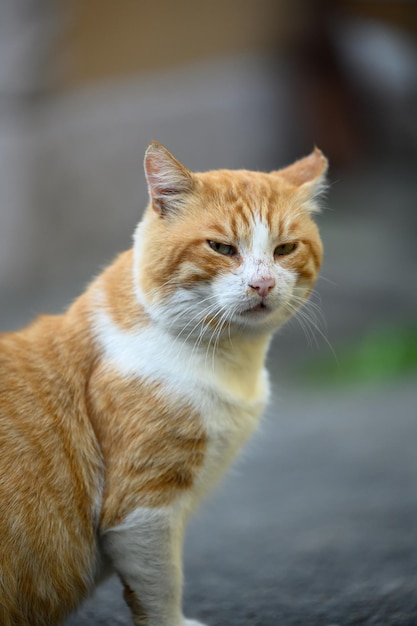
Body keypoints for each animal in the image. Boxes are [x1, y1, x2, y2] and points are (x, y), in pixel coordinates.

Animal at [0, 141, 324, 624]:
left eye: (285, 249)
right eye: (221, 247)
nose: (263, 284)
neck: (230, 362)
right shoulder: (143, 508)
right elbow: (161, 585)